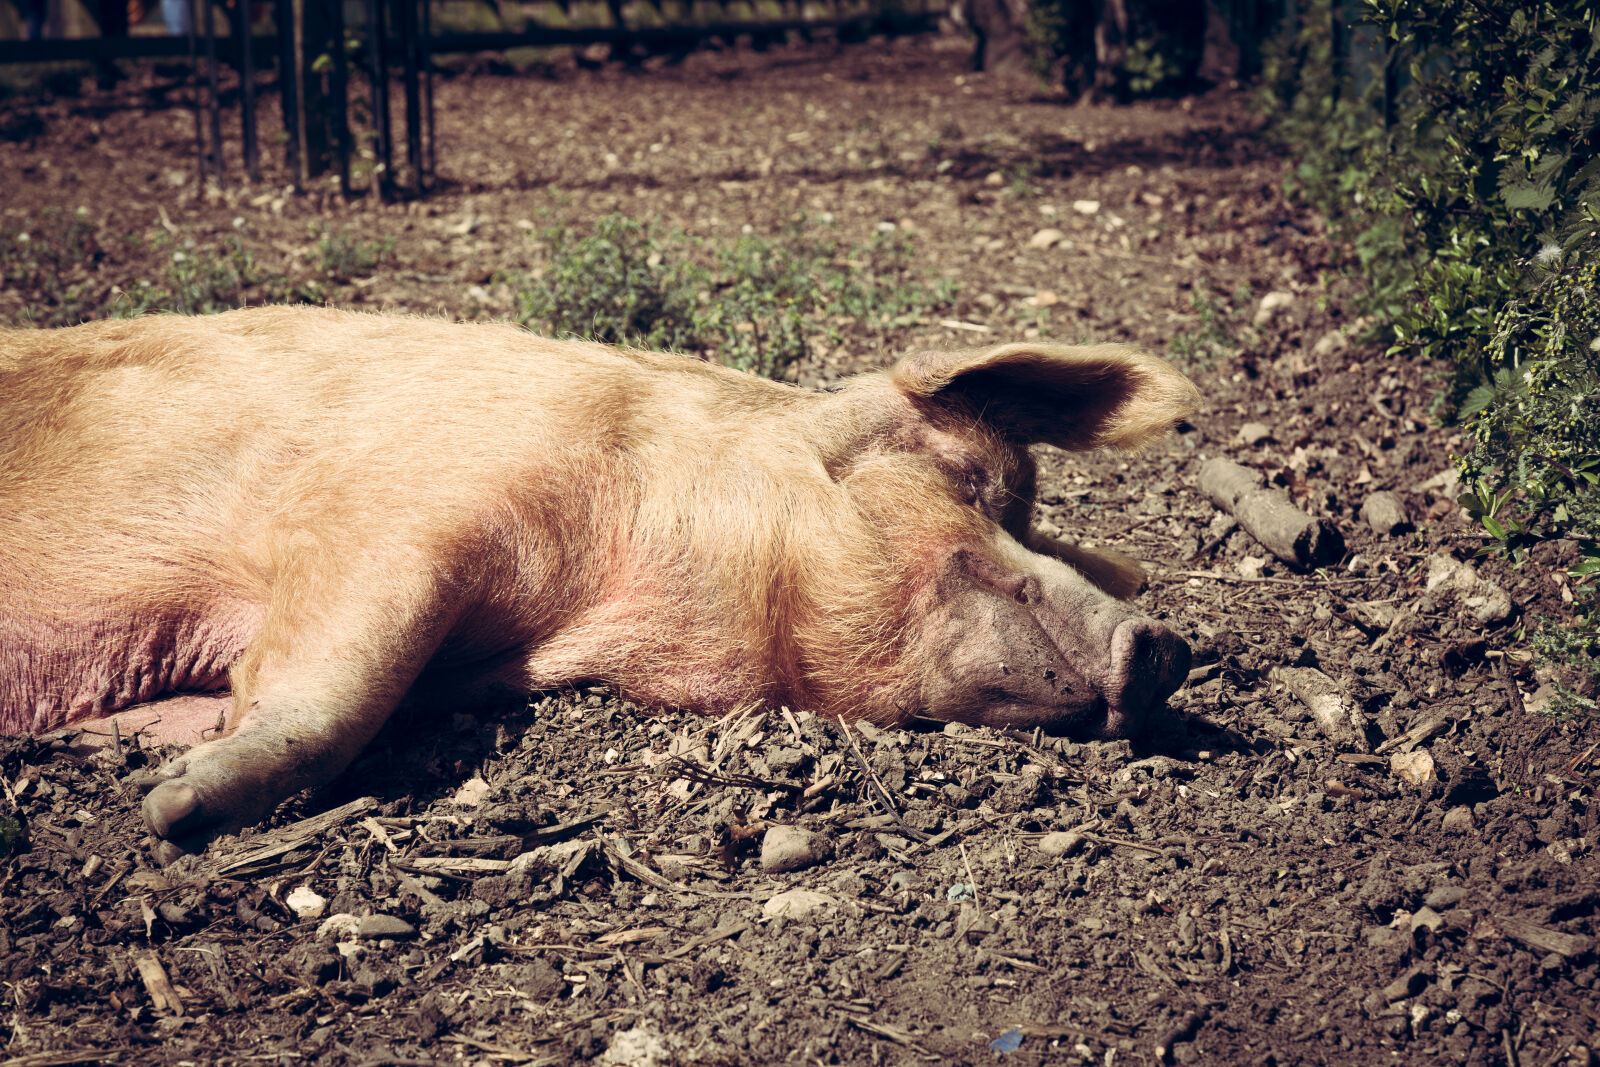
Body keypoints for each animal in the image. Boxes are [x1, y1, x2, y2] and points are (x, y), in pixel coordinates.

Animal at [0, 307, 1197, 855]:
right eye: (971, 482)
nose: (1167, 645)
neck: (589, 614)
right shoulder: (390, 517)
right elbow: (340, 682)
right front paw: (169, 807)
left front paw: (149, 759)